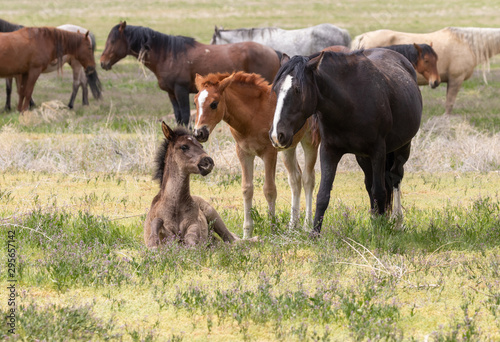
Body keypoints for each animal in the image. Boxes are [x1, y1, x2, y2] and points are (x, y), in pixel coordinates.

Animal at [99, 22, 284, 127]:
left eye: (113, 41)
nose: (102, 62)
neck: (168, 54)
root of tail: (273, 52)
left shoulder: (181, 91)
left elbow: (186, 117)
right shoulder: (172, 94)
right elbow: (179, 117)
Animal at [193, 71, 318, 239]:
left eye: (214, 104)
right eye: (195, 102)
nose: (199, 133)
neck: (252, 115)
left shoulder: (269, 153)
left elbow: (269, 190)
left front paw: (272, 230)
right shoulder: (243, 152)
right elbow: (247, 189)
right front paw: (247, 234)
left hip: (311, 140)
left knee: (307, 179)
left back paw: (307, 225)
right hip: (288, 148)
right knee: (295, 179)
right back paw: (293, 226)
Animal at [270, 49, 422, 236]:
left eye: (298, 89)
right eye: (276, 89)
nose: (277, 135)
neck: (350, 103)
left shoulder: (378, 151)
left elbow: (380, 191)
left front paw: (380, 231)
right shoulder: (329, 151)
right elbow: (323, 194)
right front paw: (314, 234)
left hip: (402, 148)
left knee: (394, 178)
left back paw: (397, 221)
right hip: (363, 158)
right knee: (370, 183)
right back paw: (376, 219)